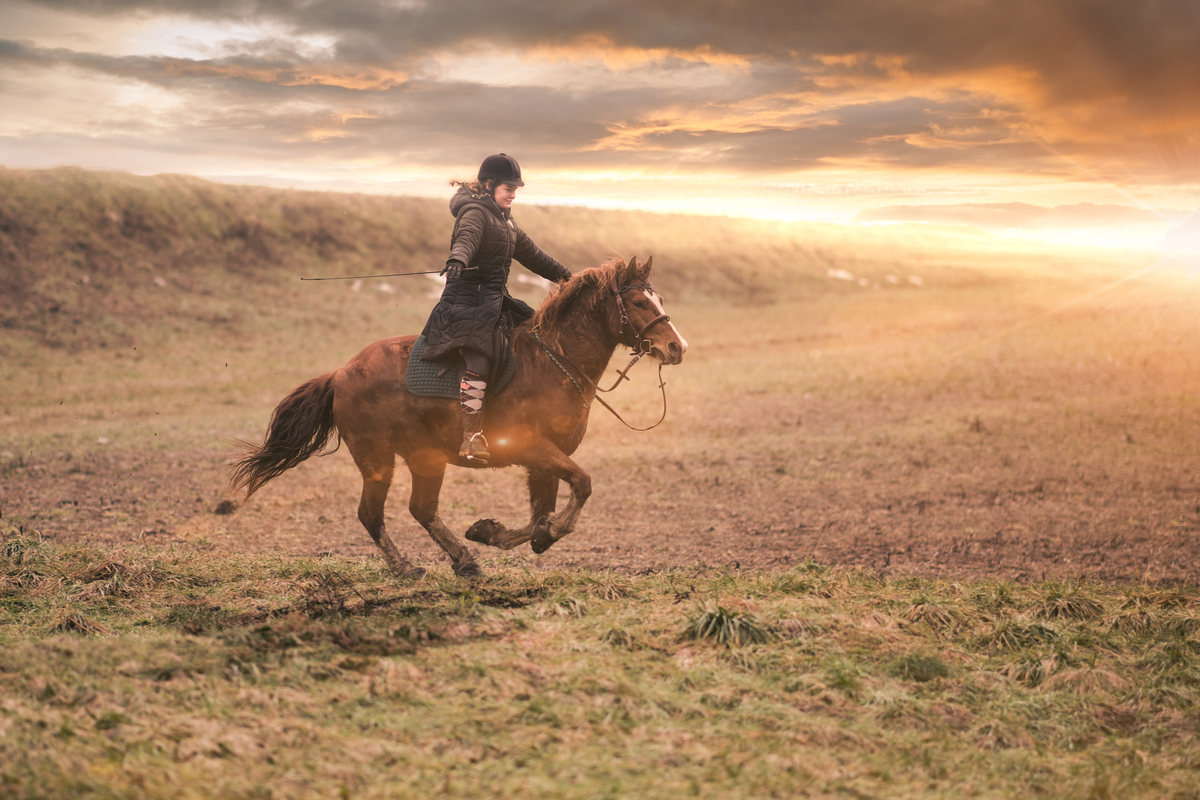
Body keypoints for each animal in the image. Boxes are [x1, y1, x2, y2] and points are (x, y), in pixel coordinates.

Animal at [225, 256, 691, 575]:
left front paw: (494, 532)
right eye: (638, 301)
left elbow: (542, 514)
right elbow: (582, 485)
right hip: (377, 459)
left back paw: (464, 559)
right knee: (372, 514)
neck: (553, 362)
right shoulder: (532, 448)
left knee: (422, 509)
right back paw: (406, 569)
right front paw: (529, 534)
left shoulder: (544, 460)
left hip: (425, 458)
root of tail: (340, 373)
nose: (677, 347)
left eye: (659, 299)